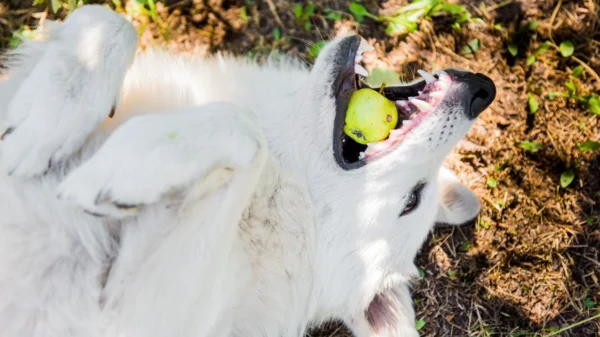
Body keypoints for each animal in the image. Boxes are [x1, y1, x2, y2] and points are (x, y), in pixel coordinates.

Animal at [0, 4, 494, 336]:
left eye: (411, 199)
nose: (482, 90)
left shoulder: (124, 314)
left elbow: (242, 133)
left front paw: (121, 167)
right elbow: (110, 21)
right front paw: (43, 123)